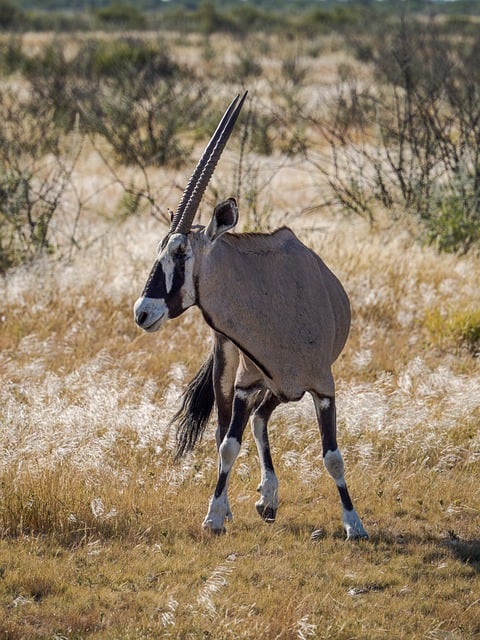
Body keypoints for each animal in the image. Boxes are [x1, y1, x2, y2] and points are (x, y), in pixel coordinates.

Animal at [134, 91, 368, 540]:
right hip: (234, 367)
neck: (275, 302)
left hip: (278, 386)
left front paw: (354, 522)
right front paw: (213, 516)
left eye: (181, 252)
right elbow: (228, 443)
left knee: (260, 420)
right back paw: (247, 502)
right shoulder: (244, 382)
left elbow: (332, 454)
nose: (142, 312)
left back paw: (269, 498)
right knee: (229, 427)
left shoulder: (323, 386)